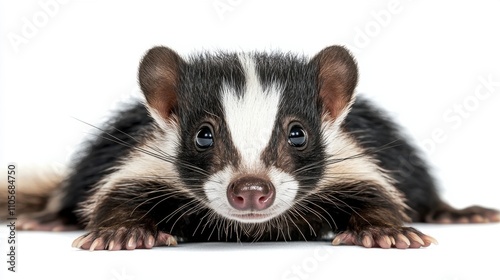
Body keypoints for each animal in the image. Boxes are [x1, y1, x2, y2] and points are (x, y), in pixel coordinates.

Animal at [4, 45, 500, 249]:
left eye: (297, 133)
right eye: (203, 134)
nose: (251, 190)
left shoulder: (352, 160)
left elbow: (375, 189)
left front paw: (385, 231)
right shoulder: (142, 159)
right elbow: (116, 191)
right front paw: (123, 232)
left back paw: (456, 212)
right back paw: (48, 218)